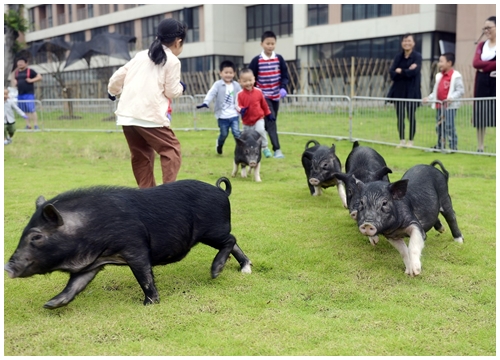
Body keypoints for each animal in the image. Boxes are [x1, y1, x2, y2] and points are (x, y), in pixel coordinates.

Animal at [4, 177, 252, 310]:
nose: (7, 267)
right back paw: (245, 270)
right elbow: (74, 285)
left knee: (231, 240)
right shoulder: (91, 264)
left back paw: (215, 272)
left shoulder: (135, 248)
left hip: (212, 230)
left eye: (36, 237)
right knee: (235, 243)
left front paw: (149, 304)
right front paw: (50, 304)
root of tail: (221, 191)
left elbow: (144, 277)